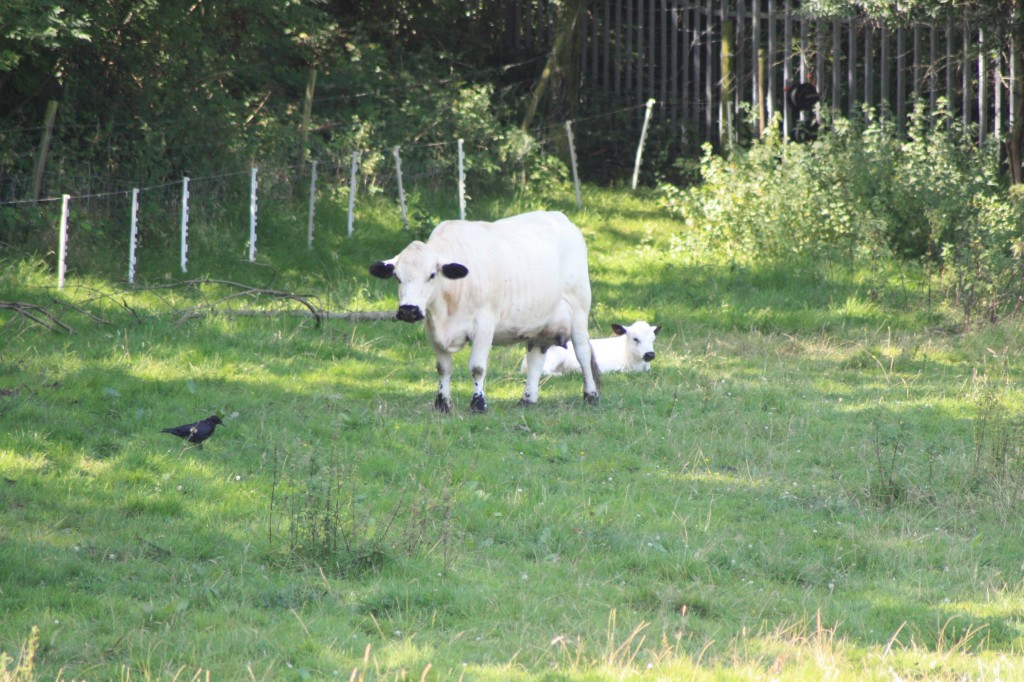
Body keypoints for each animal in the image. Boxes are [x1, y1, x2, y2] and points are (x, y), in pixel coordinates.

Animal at [370, 209, 598, 411]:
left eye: (432, 275)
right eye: (397, 277)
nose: (409, 310)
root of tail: (558, 216)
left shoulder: (484, 325)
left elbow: (477, 367)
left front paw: (478, 404)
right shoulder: (433, 329)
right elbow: (443, 367)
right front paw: (442, 404)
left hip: (579, 309)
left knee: (583, 352)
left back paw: (591, 395)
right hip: (540, 324)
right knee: (535, 357)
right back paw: (528, 399)